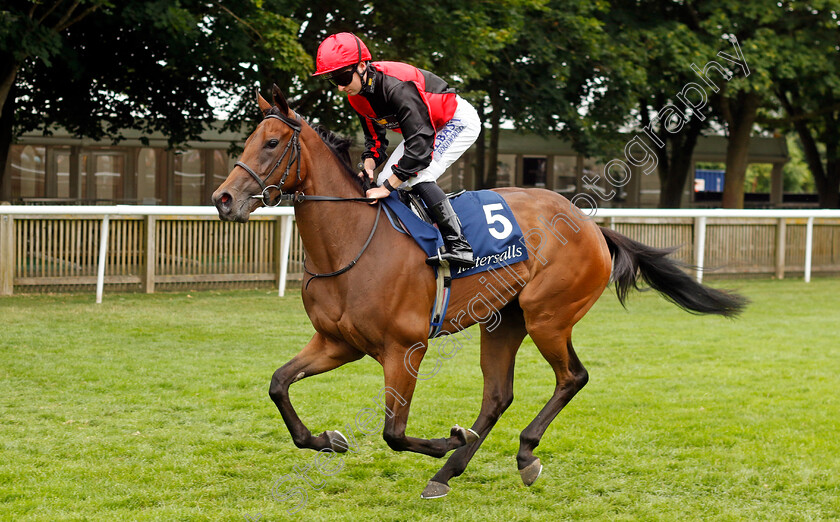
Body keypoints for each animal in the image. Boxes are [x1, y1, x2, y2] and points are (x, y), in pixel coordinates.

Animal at [212, 85, 748, 496]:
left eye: (272, 142)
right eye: (248, 140)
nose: (223, 198)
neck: (352, 242)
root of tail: (590, 225)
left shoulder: (405, 348)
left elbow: (394, 432)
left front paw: (449, 438)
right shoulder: (337, 342)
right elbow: (279, 384)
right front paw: (328, 439)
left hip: (547, 315)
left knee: (572, 377)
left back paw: (522, 454)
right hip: (503, 320)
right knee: (498, 396)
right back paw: (449, 473)